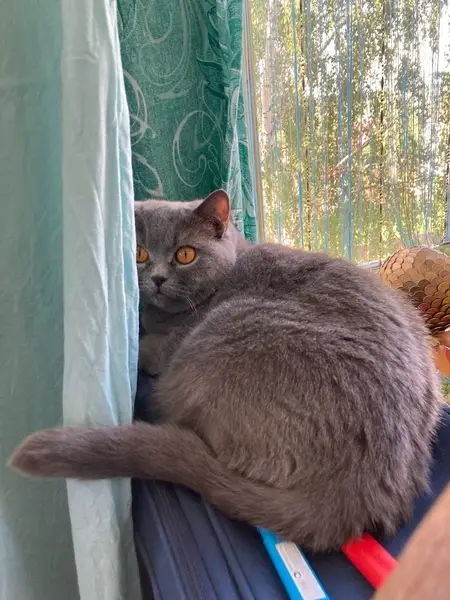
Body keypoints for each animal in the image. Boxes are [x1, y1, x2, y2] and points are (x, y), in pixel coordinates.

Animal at [10, 189, 443, 551]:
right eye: (139, 253)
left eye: (185, 254)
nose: (157, 278)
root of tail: (360, 491)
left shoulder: (168, 344)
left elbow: (150, 346)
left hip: (226, 329)